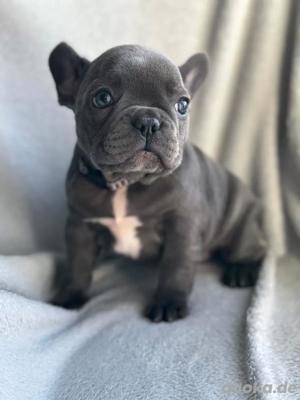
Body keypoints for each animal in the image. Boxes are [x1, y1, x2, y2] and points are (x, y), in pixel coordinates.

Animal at [48, 43, 264, 322]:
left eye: (183, 104)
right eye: (102, 98)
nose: (149, 121)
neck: (127, 182)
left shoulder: (182, 225)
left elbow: (176, 266)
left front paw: (168, 302)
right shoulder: (79, 226)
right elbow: (78, 264)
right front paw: (70, 295)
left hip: (241, 226)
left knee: (254, 250)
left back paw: (241, 271)